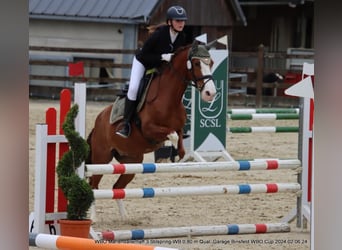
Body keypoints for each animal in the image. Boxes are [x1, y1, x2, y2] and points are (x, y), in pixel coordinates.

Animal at [87, 42, 215, 220]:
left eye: (211, 63)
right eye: (196, 63)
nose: (211, 93)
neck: (169, 97)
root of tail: (97, 123)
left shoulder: (179, 127)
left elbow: (180, 135)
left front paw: (180, 155)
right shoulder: (149, 129)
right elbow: (172, 135)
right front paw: (173, 154)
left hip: (131, 162)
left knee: (117, 186)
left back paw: (125, 217)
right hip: (101, 158)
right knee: (93, 184)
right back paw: (93, 218)